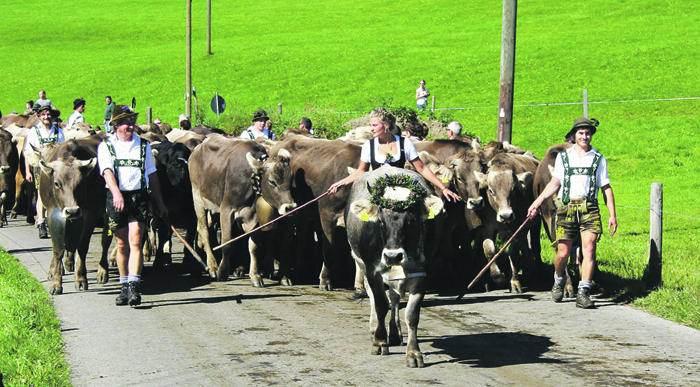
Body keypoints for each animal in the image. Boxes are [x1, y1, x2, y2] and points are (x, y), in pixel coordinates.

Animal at [189, 136, 296, 284]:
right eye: (272, 181)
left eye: (291, 179)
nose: (290, 207)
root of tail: (198, 148)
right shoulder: (226, 210)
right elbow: (227, 243)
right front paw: (222, 272)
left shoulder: (254, 217)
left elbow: (254, 247)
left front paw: (255, 275)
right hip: (198, 199)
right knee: (204, 231)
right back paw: (212, 266)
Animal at [344, 165, 442, 368]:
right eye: (381, 221)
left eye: (412, 221)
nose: (392, 256)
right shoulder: (373, 270)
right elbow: (381, 305)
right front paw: (380, 342)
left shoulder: (424, 273)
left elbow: (412, 314)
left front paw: (413, 353)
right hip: (361, 263)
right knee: (373, 298)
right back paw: (374, 329)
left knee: (394, 298)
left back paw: (395, 334)